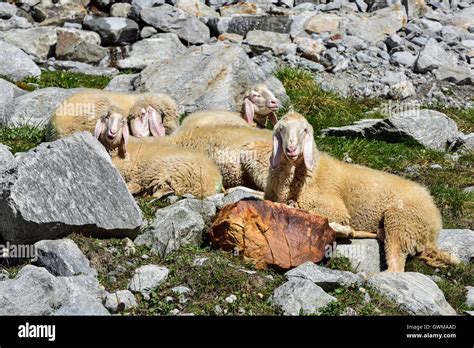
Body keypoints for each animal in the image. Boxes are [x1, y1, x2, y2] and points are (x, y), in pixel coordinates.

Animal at [264, 111, 462, 272]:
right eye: (281, 129)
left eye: (305, 130)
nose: (291, 149)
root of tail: (435, 224)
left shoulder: (335, 210)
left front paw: (344, 229)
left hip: (402, 221)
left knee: (396, 266)